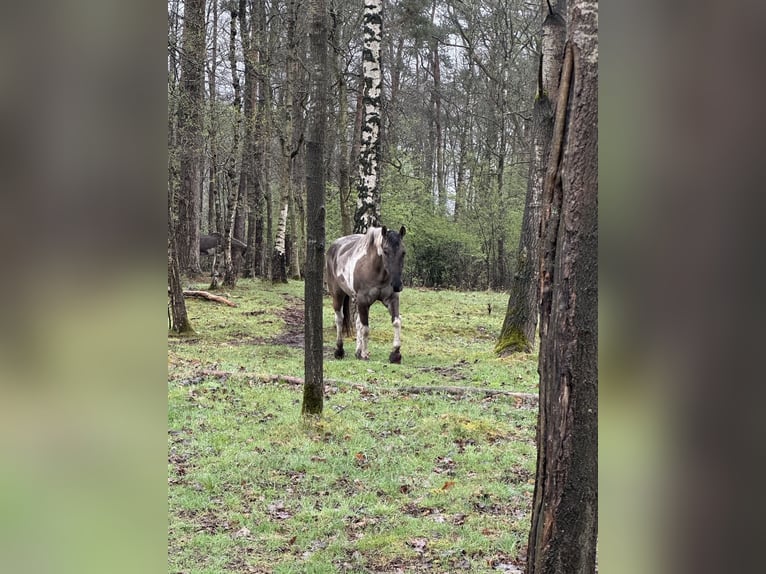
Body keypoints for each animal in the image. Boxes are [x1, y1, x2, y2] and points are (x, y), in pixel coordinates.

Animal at [325, 225, 407, 363]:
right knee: (340, 319)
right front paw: (364, 354)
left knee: (357, 322)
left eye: (403, 252)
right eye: (385, 251)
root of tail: (334, 246)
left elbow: (396, 322)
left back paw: (357, 351)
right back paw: (339, 350)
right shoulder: (363, 300)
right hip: (338, 295)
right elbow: (365, 328)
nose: (397, 285)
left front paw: (395, 354)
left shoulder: (392, 299)